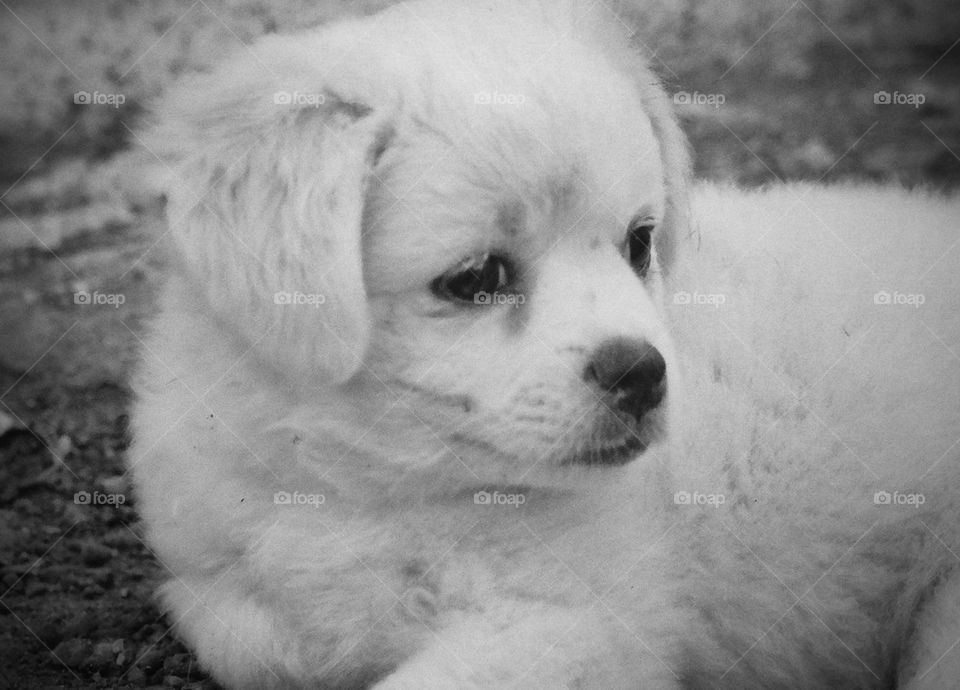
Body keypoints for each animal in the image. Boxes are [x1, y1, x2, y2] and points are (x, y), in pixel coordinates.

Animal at [131, 2, 960, 684]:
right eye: (475, 278)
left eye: (639, 243)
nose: (643, 373)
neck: (369, 485)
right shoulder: (213, 573)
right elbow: (248, 630)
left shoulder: (573, 626)